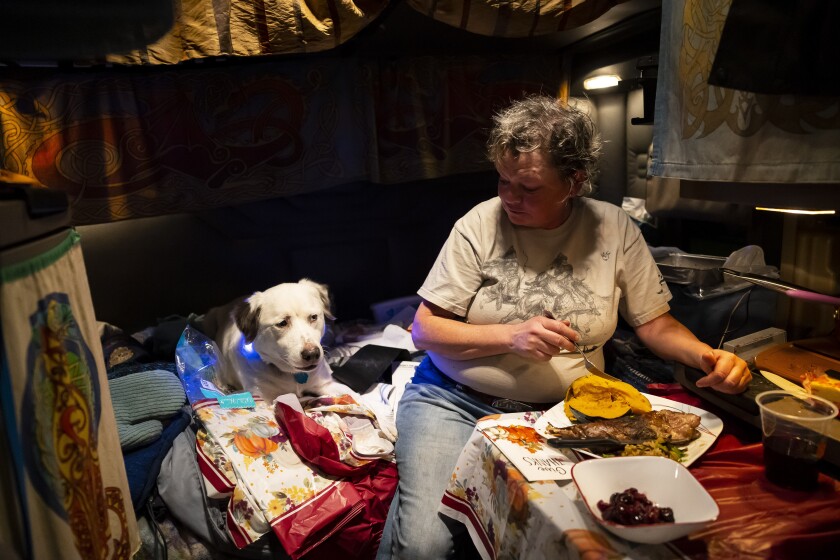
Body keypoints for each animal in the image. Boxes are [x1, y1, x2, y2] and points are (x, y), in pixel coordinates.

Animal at [205, 280, 352, 402]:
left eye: (313, 317)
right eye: (282, 323)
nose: (312, 354)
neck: (293, 376)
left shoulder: (326, 383)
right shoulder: (261, 398)